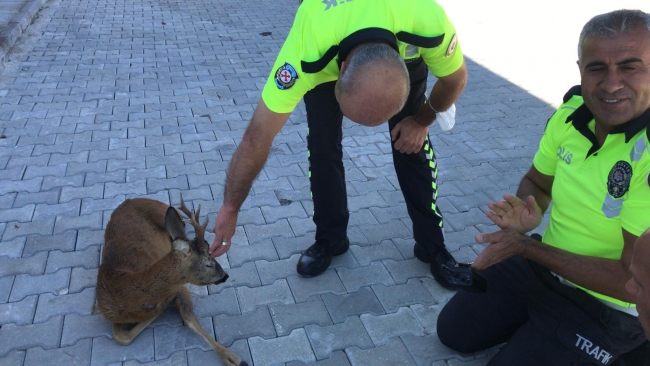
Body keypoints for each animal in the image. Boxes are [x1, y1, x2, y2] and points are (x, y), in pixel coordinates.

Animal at [95, 194, 247, 366]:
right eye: (208, 264)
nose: (225, 275)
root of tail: (132, 200)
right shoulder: (110, 312)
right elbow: (122, 337)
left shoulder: (179, 288)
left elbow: (189, 320)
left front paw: (234, 358)